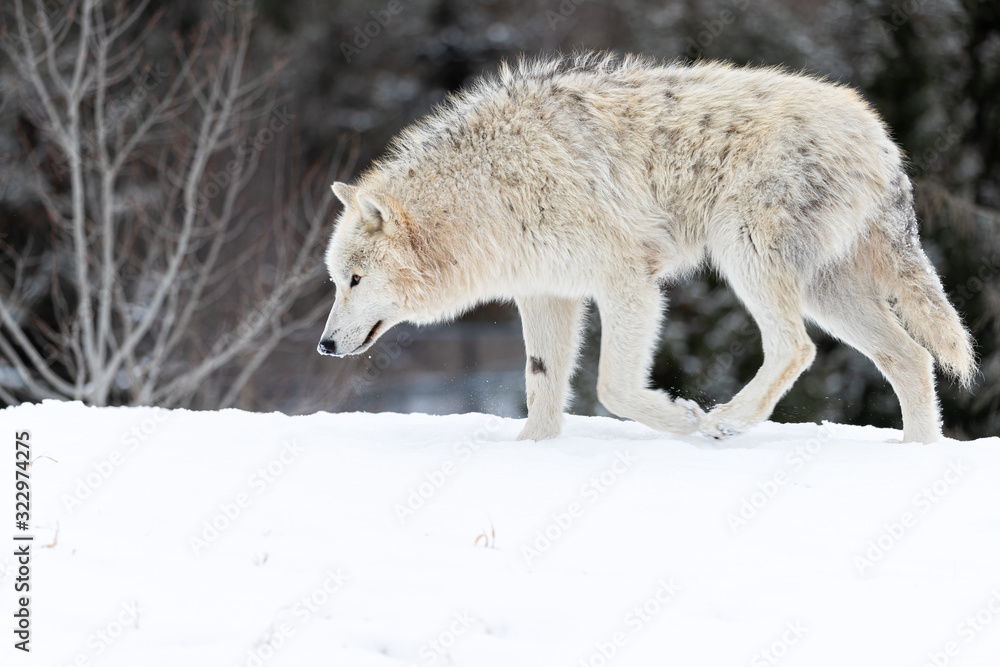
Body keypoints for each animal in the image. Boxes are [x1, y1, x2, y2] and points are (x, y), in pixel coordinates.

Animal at [317, 54, 975, 443]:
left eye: (354, 280)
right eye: (335, 281)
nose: (323, 346)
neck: (488, 192)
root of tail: (882, 138)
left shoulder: (628, 285)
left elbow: (612, 389)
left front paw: (683, 420)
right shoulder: (547, 294)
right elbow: (541, 388)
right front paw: (533, 454)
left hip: (747, 258)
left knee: (796, 347)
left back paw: (726, 421)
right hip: (825, 292)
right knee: (911, 359)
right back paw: (918, 454)